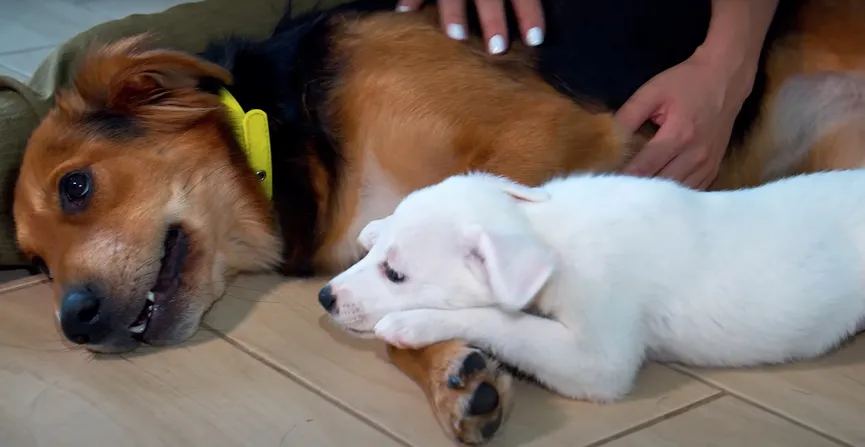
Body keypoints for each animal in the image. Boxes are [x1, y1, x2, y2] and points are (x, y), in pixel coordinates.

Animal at [318, 172, 865, 402]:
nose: (325, 297)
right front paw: (374, 225)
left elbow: (504, 320)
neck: (548, 230)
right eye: (379, 258)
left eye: (396, 275)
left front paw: (415, 322)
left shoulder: (598, 359)